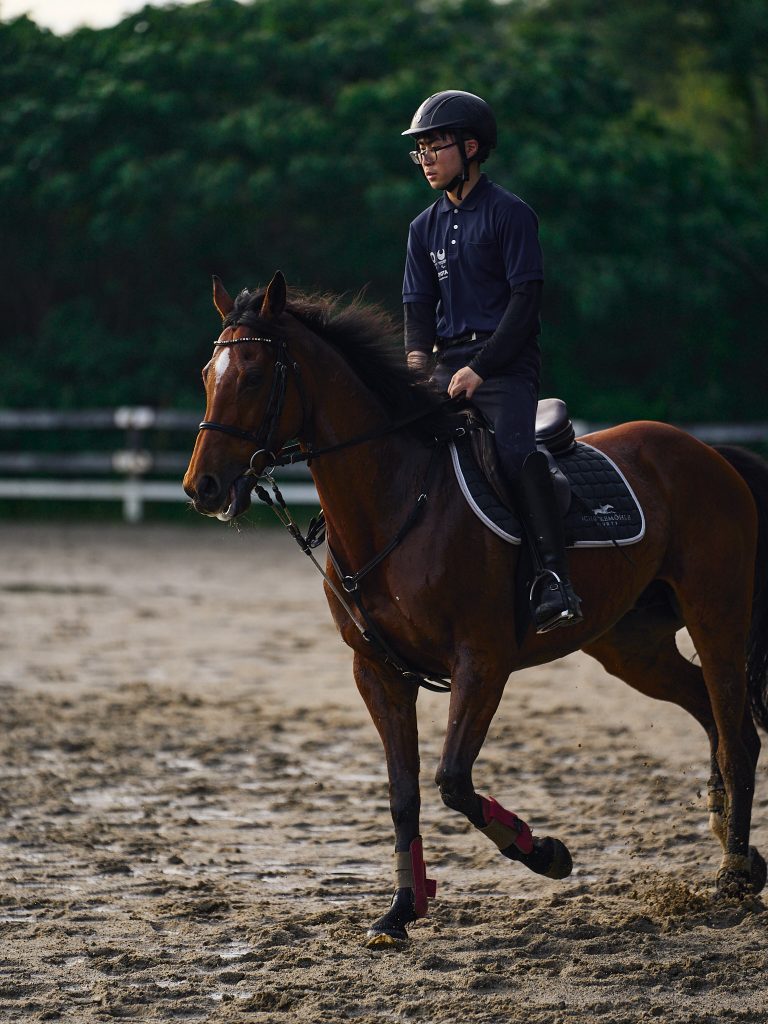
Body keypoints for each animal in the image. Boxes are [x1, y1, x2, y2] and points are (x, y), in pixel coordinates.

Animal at [183, 271, 768, 945]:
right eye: (209, 374)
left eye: (253, 376)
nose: (201, 488)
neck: (401, 498)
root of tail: (710, 454)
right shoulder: (378, 673)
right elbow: (404, 794)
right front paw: (400, 912)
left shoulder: (482, 663)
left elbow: (452, 782)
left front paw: (546, 854)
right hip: (633, 646)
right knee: (711, 715)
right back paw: (738, 850)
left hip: (716, 615)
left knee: (737, 735)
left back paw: (733, 873)